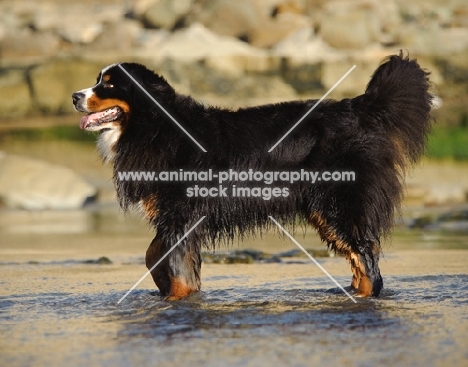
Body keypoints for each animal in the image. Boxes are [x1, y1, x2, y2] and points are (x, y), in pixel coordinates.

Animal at [71, 54, 434, 302]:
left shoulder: (179, 214)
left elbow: (173, 264)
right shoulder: (175, 216)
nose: (75, 96)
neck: (154, 128)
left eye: (109, 84)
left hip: (337, 204)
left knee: (368, 259)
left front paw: (176, 298)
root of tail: (359, 107)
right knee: (360, 258)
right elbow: (155, 255)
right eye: (98, 80)